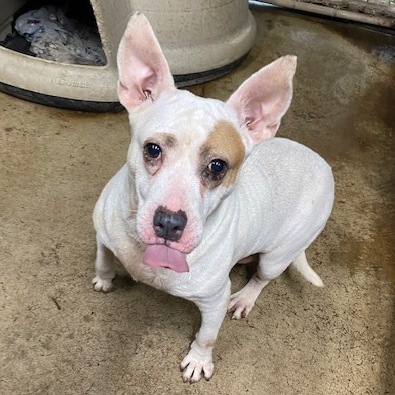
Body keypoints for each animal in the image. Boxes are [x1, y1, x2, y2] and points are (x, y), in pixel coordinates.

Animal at [93, 12, 334, 384]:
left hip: (278, 255)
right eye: (153, 149)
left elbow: (207, 335)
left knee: (262, 277)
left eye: (217, 167)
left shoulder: (213, 300)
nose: (169, 223)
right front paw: (104, 280)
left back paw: (245, 297)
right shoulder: (103, 236)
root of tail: (323, 164)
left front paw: (198, 360)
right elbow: (103, 259)